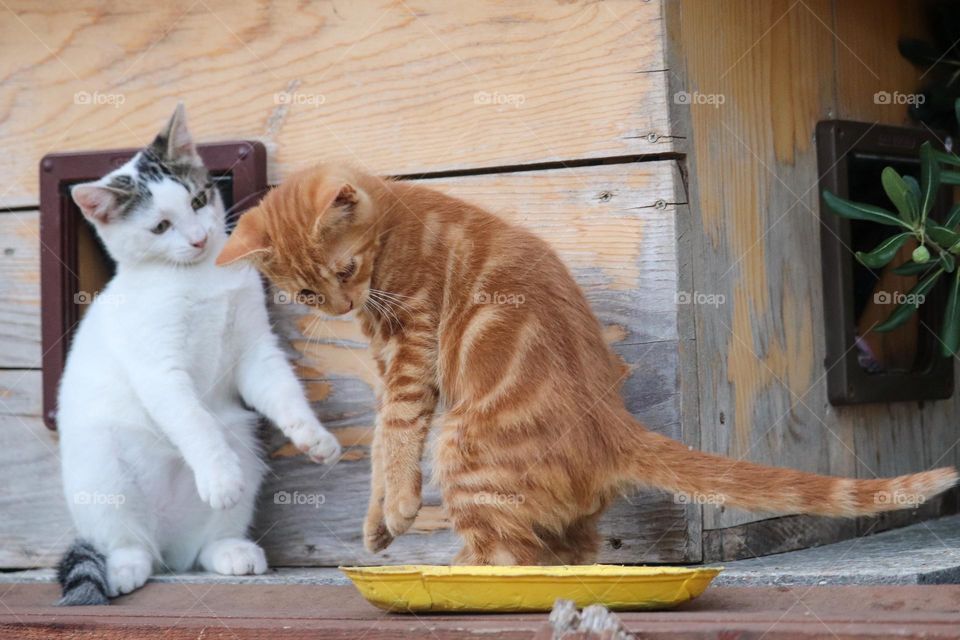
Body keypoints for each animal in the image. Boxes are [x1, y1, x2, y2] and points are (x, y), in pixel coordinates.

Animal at [56, 105, 342, 604]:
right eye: (160, 227)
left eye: (197, 200)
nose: (198, 239)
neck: (197, 275)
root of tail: (167, 543)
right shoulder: (159, 368)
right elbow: (195, 421)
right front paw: (219, 476)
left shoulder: (254, 348)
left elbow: (282, 391)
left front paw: (312, 435)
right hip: (99, 466)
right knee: (128, 541)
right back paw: (124, 565)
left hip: (245, 444)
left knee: (201, 548)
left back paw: (229, 551)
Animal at [219, 165, 960, 564]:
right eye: (307, 293)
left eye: (344, 270)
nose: (341, 302)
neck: (398, 218)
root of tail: (614, 426)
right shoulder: (384, 360)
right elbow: (379, 445)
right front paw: (376, 525)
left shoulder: (409, 354)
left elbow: (395, 439)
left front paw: (395, 513)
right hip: (561, 512)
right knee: (562, 555)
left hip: (463, 449)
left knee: (508, 557)